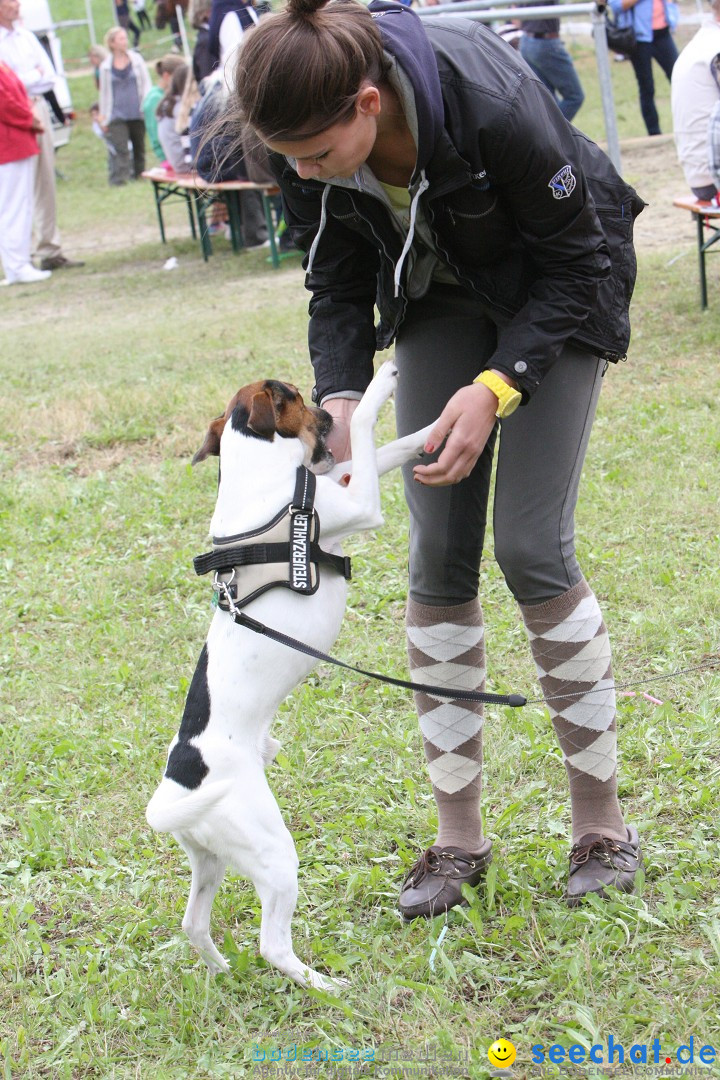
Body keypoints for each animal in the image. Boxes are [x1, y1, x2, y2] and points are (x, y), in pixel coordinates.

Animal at [143, 362, 431, 989]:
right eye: (297, 396)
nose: (325, 408)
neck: (257, 474)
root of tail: (178, 786)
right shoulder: (358, 502)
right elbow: (369, 430)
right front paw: (382, 383)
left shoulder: (345, 484)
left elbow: (390, 449)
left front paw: (434, 432)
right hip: (274, 855)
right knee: (272, 944)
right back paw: (329, 988)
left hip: (211, 856)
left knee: (193, 922)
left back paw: (221, 969)